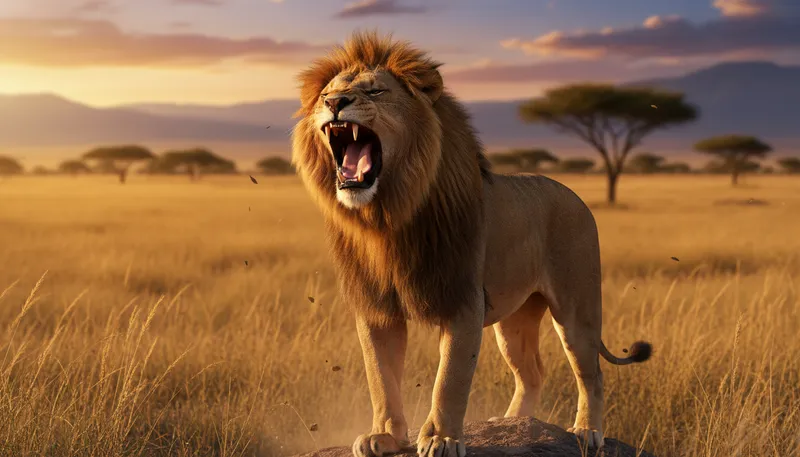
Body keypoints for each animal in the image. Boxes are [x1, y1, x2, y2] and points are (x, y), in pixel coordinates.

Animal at [290, 31, 652, 457]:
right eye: (325, 94)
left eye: (375, 90)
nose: (334, 104)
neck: (388, 217)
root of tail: (575, 195)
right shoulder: (376, 306)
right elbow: (381, 377)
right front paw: (386, 436)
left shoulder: (463, 300)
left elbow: (451, 378)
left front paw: (442, 439)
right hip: (514, 320)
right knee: (532, 372)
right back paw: (510, 423)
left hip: (576, 308)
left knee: (591, 372)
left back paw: (586, 431)